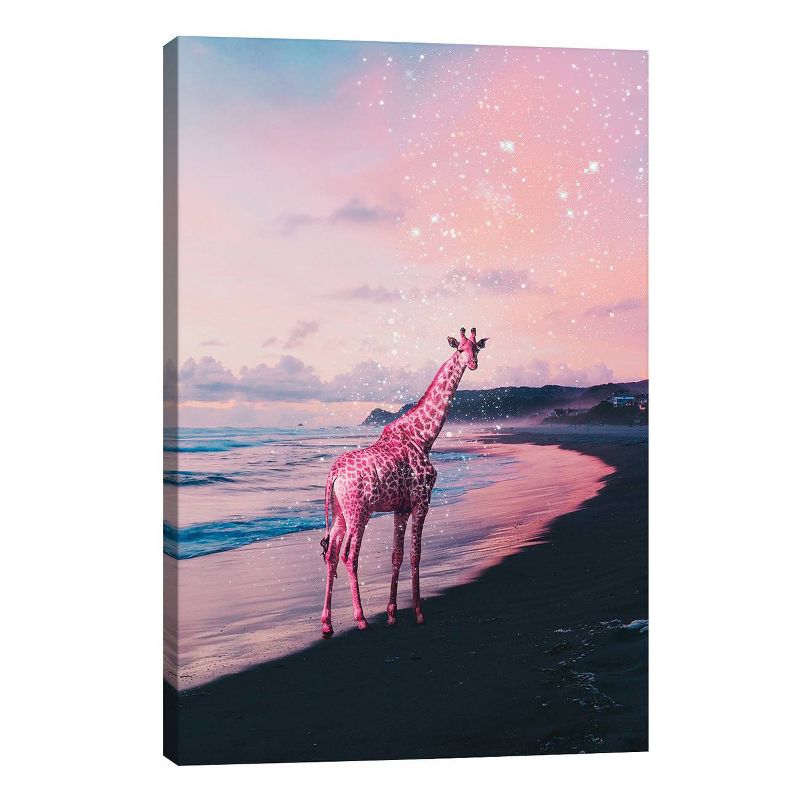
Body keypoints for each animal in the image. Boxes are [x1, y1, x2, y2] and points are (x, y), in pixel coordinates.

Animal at [319, 327, 489, 638]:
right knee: (349, 555)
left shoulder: (401, 507)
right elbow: (415, 554)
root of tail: (332, 474)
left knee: (332, 555)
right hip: (359, 512)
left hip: (339, 513)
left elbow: (396, 556)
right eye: (460, 349)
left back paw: (327, 624)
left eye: (477, 348)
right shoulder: (422, 500)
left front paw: (391, 614)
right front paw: (419, 614)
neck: (424, 438)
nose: (472, 364)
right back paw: (360, 619)